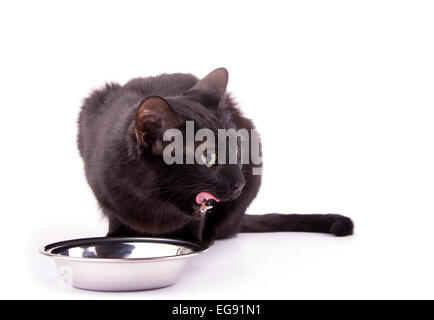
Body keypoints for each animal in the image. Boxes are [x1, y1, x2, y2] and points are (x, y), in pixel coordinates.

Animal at [77, 68, 352, 245]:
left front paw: (190, 243)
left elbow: (196, 223)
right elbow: (115, 217)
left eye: (236, 149)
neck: (155, 201)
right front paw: (114, 238)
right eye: (208, 158)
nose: (239, 183)